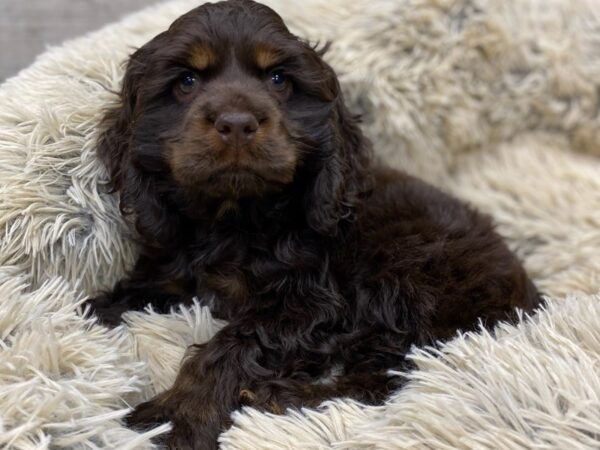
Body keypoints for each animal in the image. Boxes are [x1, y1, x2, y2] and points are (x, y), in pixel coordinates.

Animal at [91, 0, 540, 446]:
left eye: (278, 79)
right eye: (186, 81)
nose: (236, 122)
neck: (234, 216)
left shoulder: (310, 305)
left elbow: (235, 343)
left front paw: (179, 417)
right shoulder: (174, 269)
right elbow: (139, 289)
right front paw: (89, 313)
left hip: (409, 275)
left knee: (388, 380)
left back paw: (281, 396)